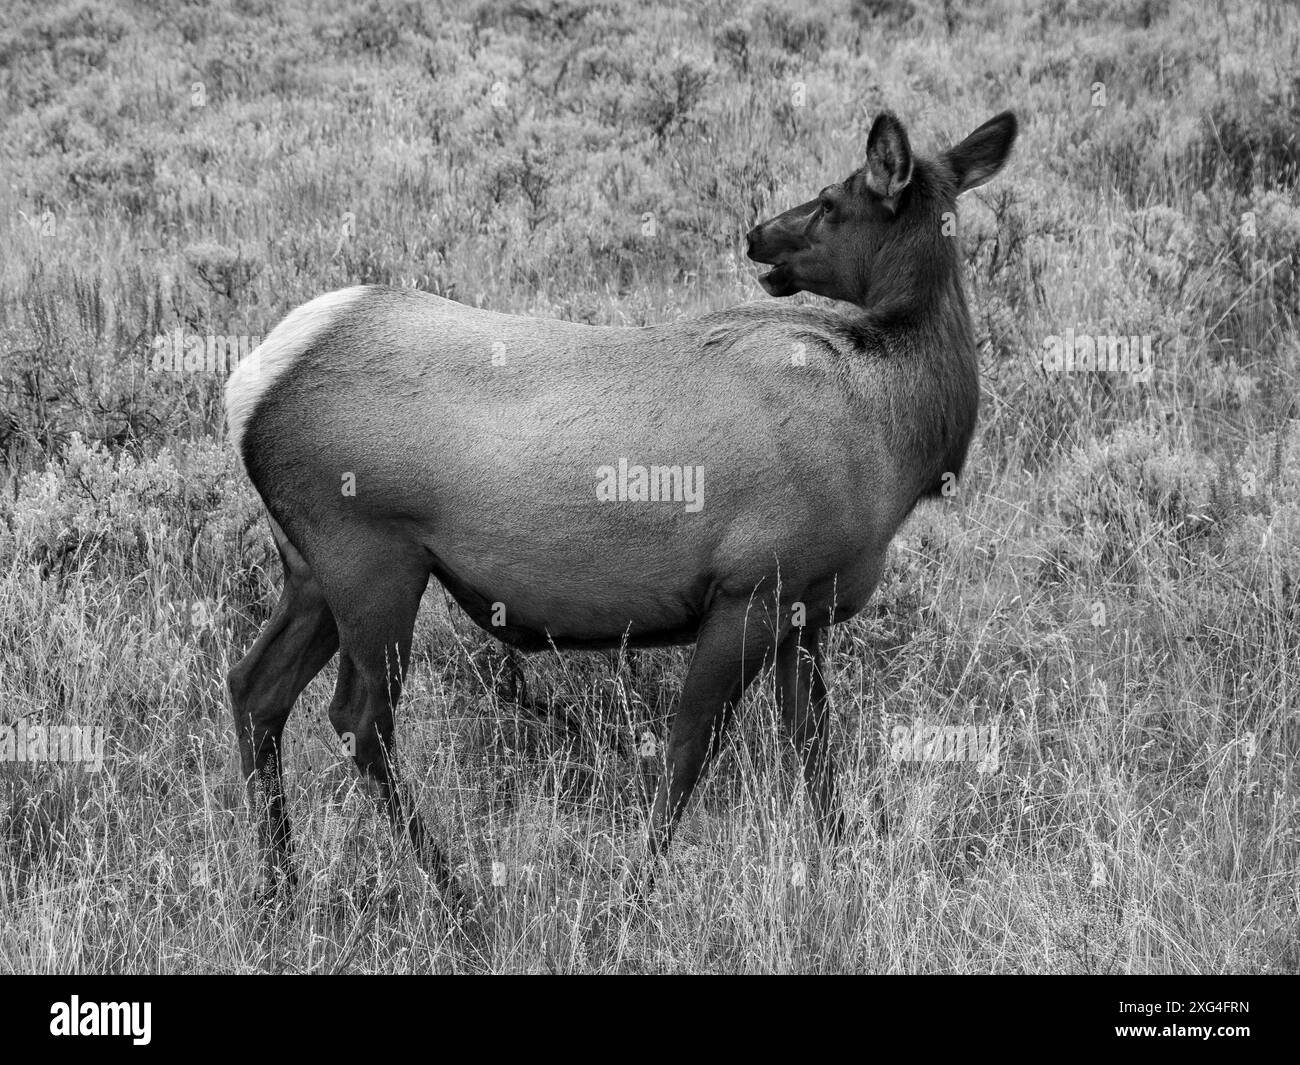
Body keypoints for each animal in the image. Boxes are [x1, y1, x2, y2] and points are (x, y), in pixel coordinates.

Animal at [226, 110, 1013, 899]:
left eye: (826, 202)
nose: (757, 234)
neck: (894, 443)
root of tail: (244, 390)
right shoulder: (751, 588)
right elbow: (690, 746)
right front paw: (637, 883)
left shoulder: (806, 608)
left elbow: (814, 749)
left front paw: (844, 861)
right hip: (372, 559)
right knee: (360, 718)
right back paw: (455, 890)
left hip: (311, 569)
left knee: (254, 686)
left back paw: (281, 882)